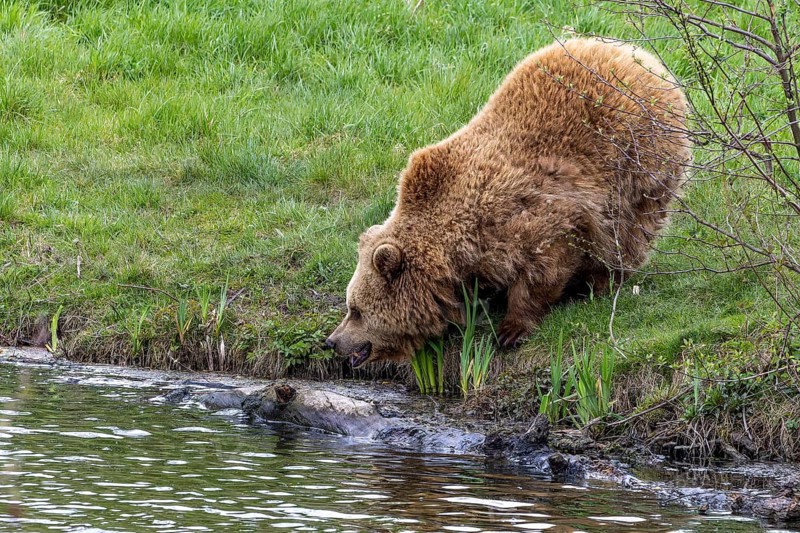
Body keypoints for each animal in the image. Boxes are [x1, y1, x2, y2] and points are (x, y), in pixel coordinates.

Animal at [325, 38, 691, 367]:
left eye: (356, 310)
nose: (332, 341)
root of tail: (643, 56)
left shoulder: (536, 214)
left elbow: (543, 269)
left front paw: (510, 329)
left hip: (637, 161)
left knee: (628, 230)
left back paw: (601, 283)